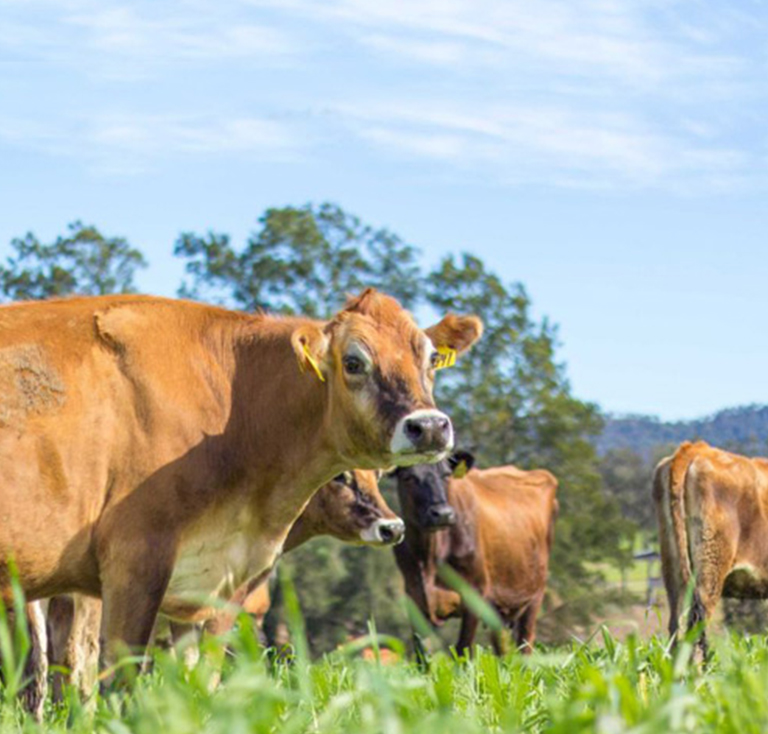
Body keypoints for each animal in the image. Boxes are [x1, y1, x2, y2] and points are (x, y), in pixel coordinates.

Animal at [393, 451, 558, 656]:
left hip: (535, 593)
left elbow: (463, 649)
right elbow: (421, 654)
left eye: (446, 475)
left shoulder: (475, 593)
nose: (443, 514)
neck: (429, 557)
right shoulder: (415, 597)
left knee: (525, 642)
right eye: (408, 477)